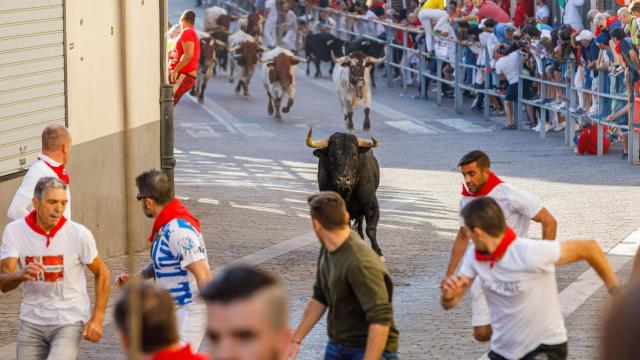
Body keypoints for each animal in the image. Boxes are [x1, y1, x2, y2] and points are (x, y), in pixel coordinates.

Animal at [306, 129, 384, 258]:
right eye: (331, 156)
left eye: (354, 154)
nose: (343, 180)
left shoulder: (372, 205)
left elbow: (371, 230)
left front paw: (378, 253)